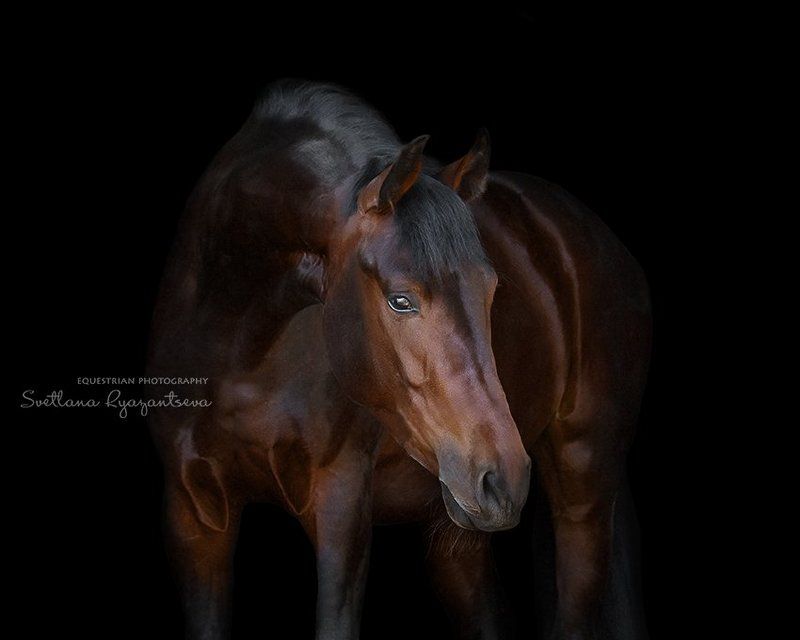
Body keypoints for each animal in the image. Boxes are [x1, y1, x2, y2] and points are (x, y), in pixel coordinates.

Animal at [147, 80, 651, 640]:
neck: (242, 355)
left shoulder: (341, 507)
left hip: (584, 487)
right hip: (456, 538)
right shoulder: (193, 518)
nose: (504, 478)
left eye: (492, 290)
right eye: (401, 300)